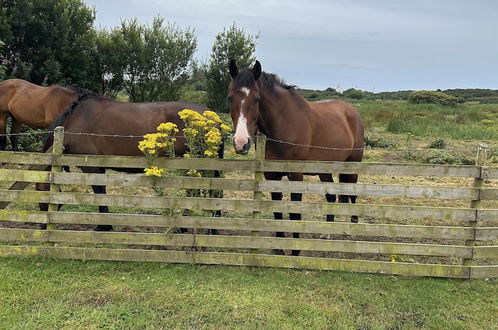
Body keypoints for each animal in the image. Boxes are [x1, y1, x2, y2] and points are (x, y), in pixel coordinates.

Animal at [38, 93, 225, 231]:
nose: (41, 226)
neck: (74, 120)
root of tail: (212, 116)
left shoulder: (92, 168)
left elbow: (99, 193)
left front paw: (103, 226)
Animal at [228, 59, 364, 255]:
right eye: (230, 98)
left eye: (257, 99)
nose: (241, 142)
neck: (284, 124)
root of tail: (352, 112)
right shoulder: (272, 175)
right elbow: (277, 211)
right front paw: (279, 248)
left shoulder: (296, 175)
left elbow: (294, 212)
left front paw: (295, 250)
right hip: (325, 169)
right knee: (332, 197)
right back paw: (327, 233)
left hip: (352, 166)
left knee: (353, 195)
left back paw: (352, 231)